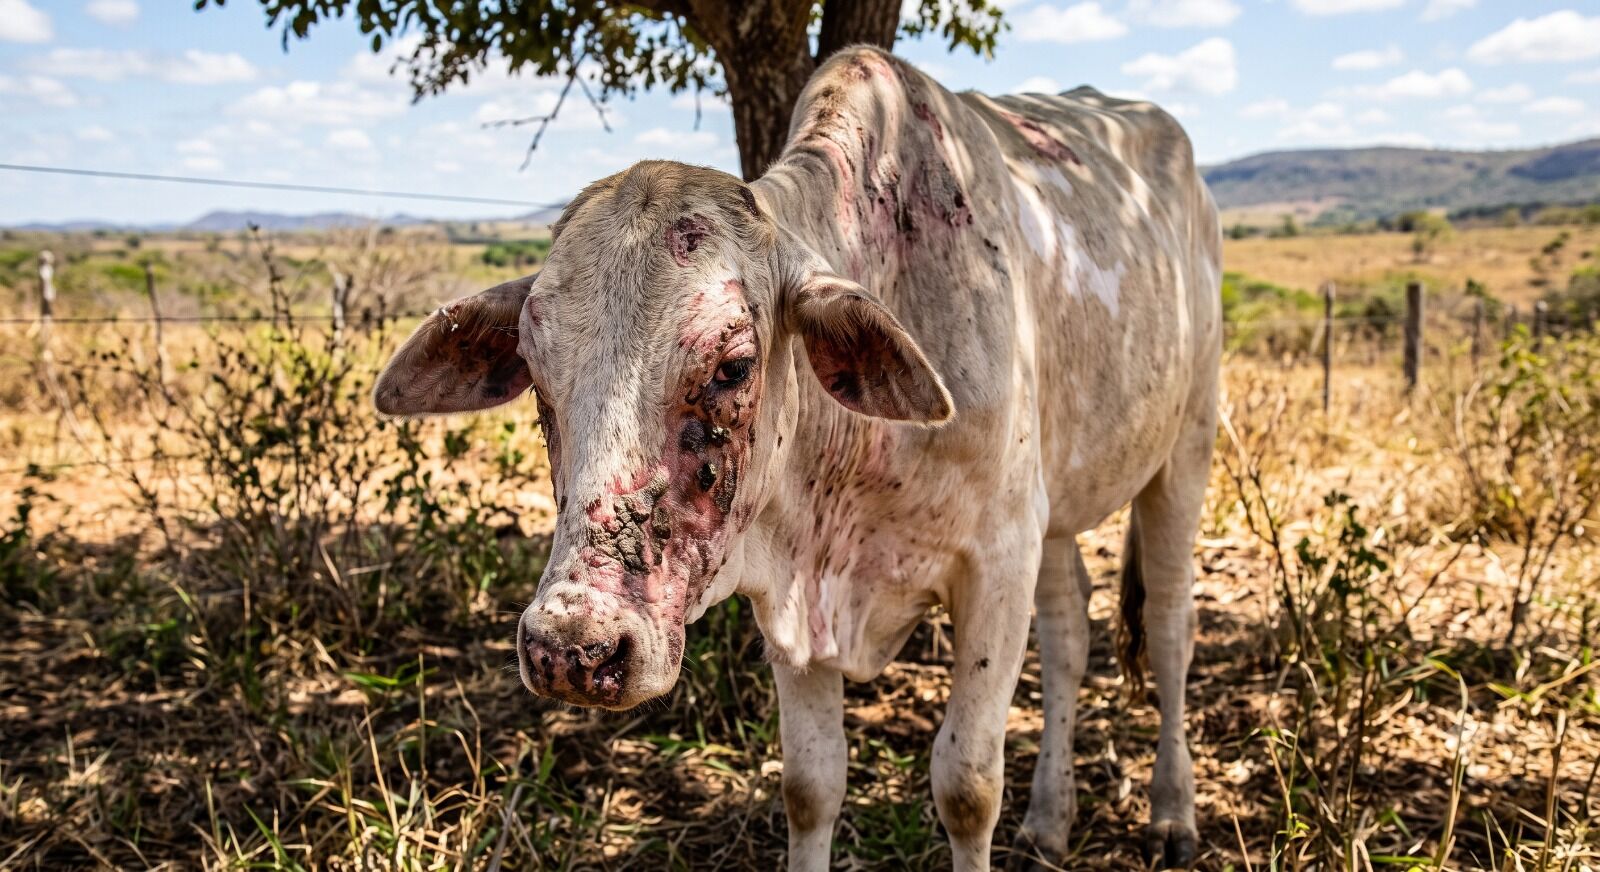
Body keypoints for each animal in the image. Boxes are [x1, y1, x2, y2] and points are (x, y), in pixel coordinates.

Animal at [374, 46, 1221, 871]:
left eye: (733, 366)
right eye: (533, 366)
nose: (572, 648)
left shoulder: (999, 561)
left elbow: (967, 786)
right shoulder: (790, 583)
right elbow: (811, 786)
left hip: (1186, 447)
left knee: (1171, 627)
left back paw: (1172, 816)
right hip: (1060, 505)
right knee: (1070, 630)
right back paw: (1049, 821)